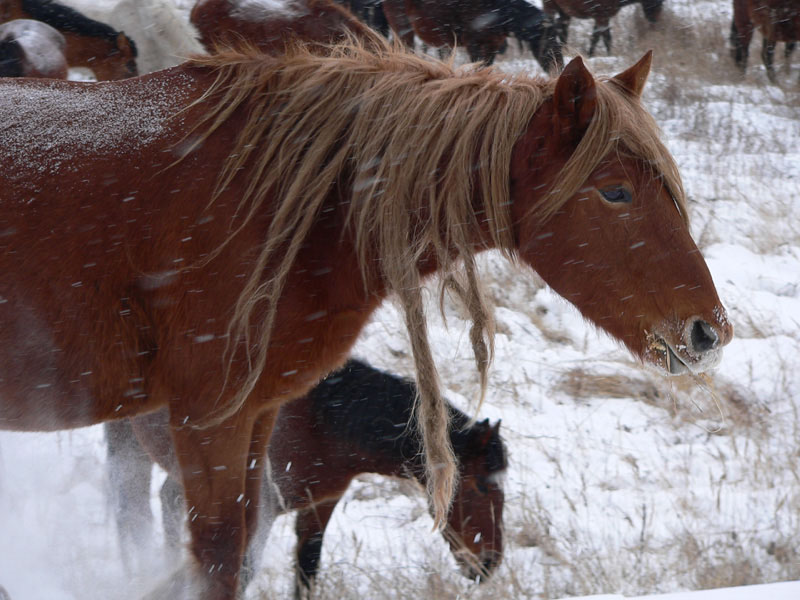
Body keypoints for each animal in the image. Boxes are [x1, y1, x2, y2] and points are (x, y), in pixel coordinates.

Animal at [106, 358, 506, 596]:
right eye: (481, 485)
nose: (488, 564)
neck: (320, 422)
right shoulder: (259, 508)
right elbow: (238, 571)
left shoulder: (320, 505)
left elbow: (307, 570)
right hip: (127, 442)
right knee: (130, 510)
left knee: (166, 502)